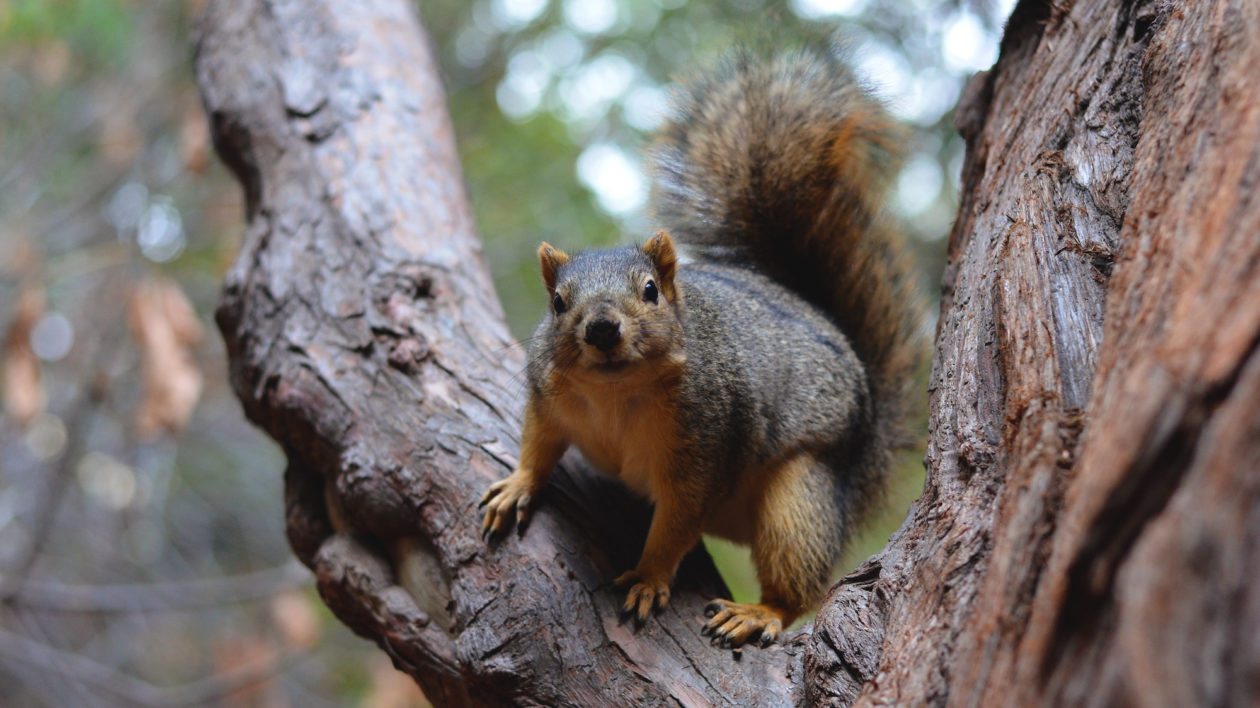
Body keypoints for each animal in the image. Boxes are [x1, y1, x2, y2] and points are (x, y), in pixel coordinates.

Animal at [476, 45, 922, 650]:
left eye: (650, 290)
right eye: (558, 303)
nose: (601, 329)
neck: (615, 393)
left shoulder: (707, 447)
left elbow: (677, 524)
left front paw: (648, 577)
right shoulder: (547, 397)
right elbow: (538, 444)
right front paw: (518, 485)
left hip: (801, 491)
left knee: (796, 578)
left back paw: (759, 612)